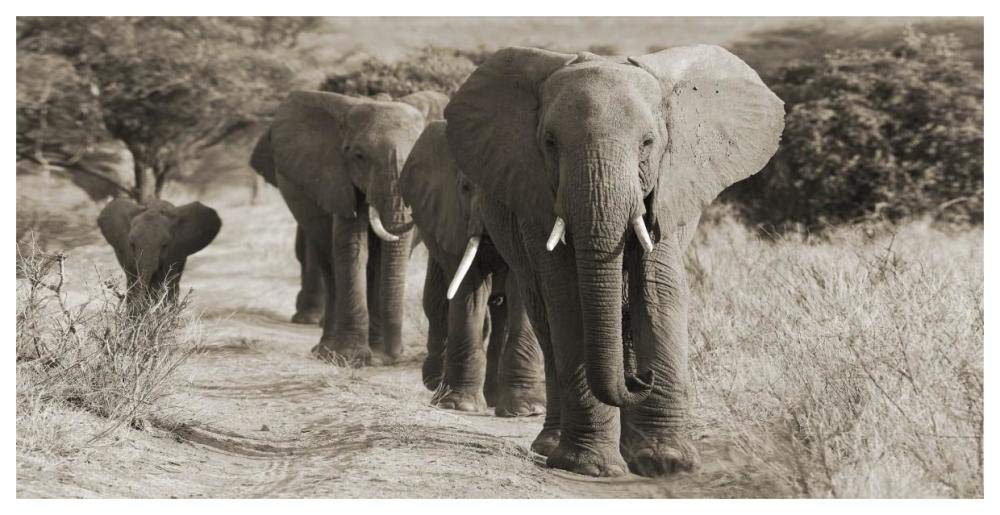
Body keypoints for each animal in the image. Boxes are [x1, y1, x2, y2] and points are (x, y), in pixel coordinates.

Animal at [250, 90, 449, 365]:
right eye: (359, 157)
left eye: (417, 161)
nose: (394, 356)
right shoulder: (339, 180)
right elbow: (353, 248)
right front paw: (352, 357)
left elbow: (385, 257)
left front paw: (377, 357)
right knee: (330, 263)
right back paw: (325, 351)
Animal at [400, 120, 546, 416]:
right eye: (465, 188)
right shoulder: (451, 216)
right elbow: (468, 289)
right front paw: (459, 405)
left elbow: (521, 290)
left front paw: (527, 410)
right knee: (436, 301)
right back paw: (439, 384)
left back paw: (494, 398)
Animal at [443, 45, 784, 477]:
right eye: (550, 143)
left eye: (648, 143)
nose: (642, 378)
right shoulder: (536, 196)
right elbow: (569, 297)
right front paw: (591, 467)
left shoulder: (668, 190)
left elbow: (659, 289)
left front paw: (666, 463)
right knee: (545, 319)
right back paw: (552, 446)